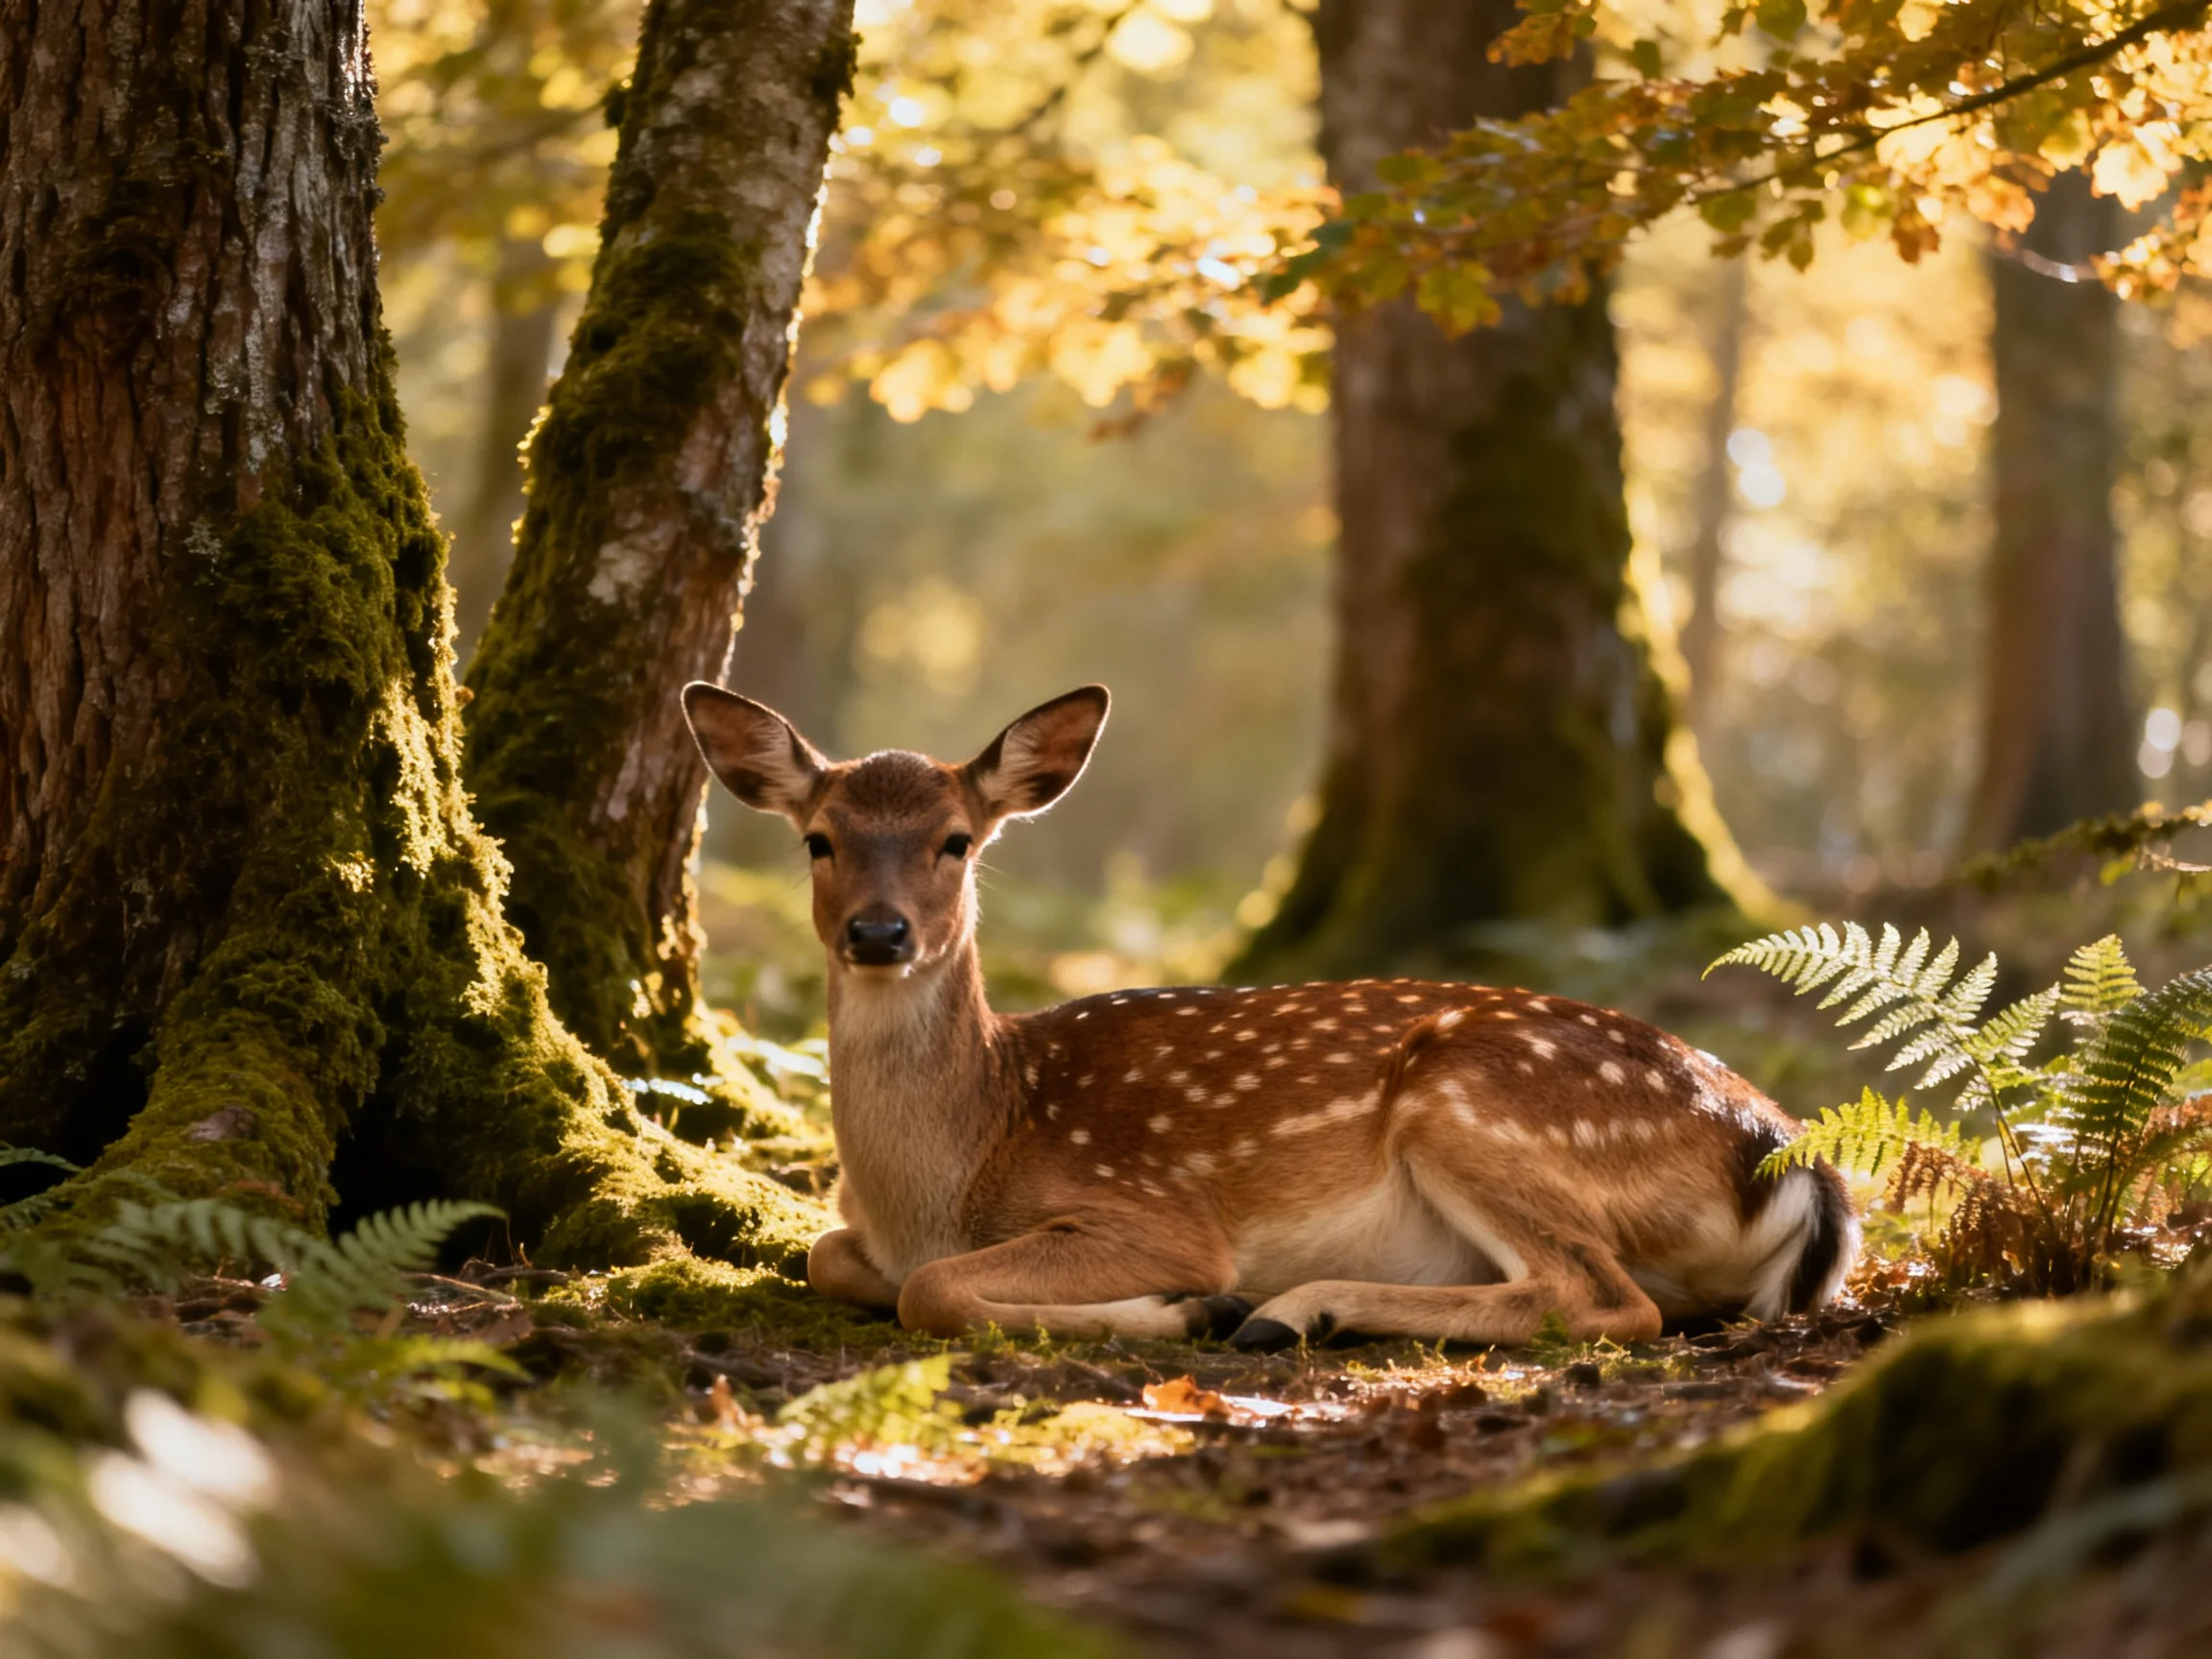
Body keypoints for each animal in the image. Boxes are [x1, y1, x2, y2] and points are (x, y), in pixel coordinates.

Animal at [682, 681, 1859, 1350]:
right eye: (819, 839)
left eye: (957, 840)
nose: (879, 933)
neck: (960, 1161)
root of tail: (1791, 1160)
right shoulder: (864, 1235)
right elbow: (828, 1256)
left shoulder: (1149, 1211)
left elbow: (929, 1288)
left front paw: (1184, 1310)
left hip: (1471, 1102)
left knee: (1604, 1299)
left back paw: (1288, 1311)